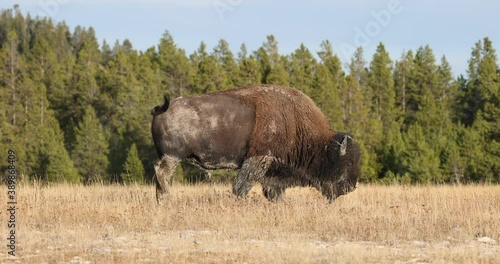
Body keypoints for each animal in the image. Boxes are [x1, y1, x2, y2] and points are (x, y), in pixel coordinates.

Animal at [151, 85, 360, 203]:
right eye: (347, 163)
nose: (351, 187)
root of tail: (162, 109)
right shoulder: (258, 158)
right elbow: (242, 186)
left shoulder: (272, 171)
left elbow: (273, 191)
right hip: (173, 156)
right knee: (161, 174)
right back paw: (167, 199)